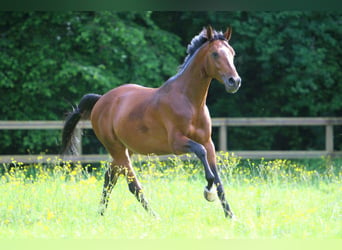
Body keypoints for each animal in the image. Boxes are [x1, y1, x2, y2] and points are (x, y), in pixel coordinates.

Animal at [62, 25, 243, 219]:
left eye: (232, 53)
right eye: (215, 54)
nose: (234, 81)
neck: (190, 102)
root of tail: (101, 100)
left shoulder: (208, 143)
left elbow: (218, 179)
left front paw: (230, 216)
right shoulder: (177, 143)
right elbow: (201, 155)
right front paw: (208, 192)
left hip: (126, 150)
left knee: (110, 177)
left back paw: (101, 214)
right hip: (117, 150)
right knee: (132, 185)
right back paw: (154, 217)